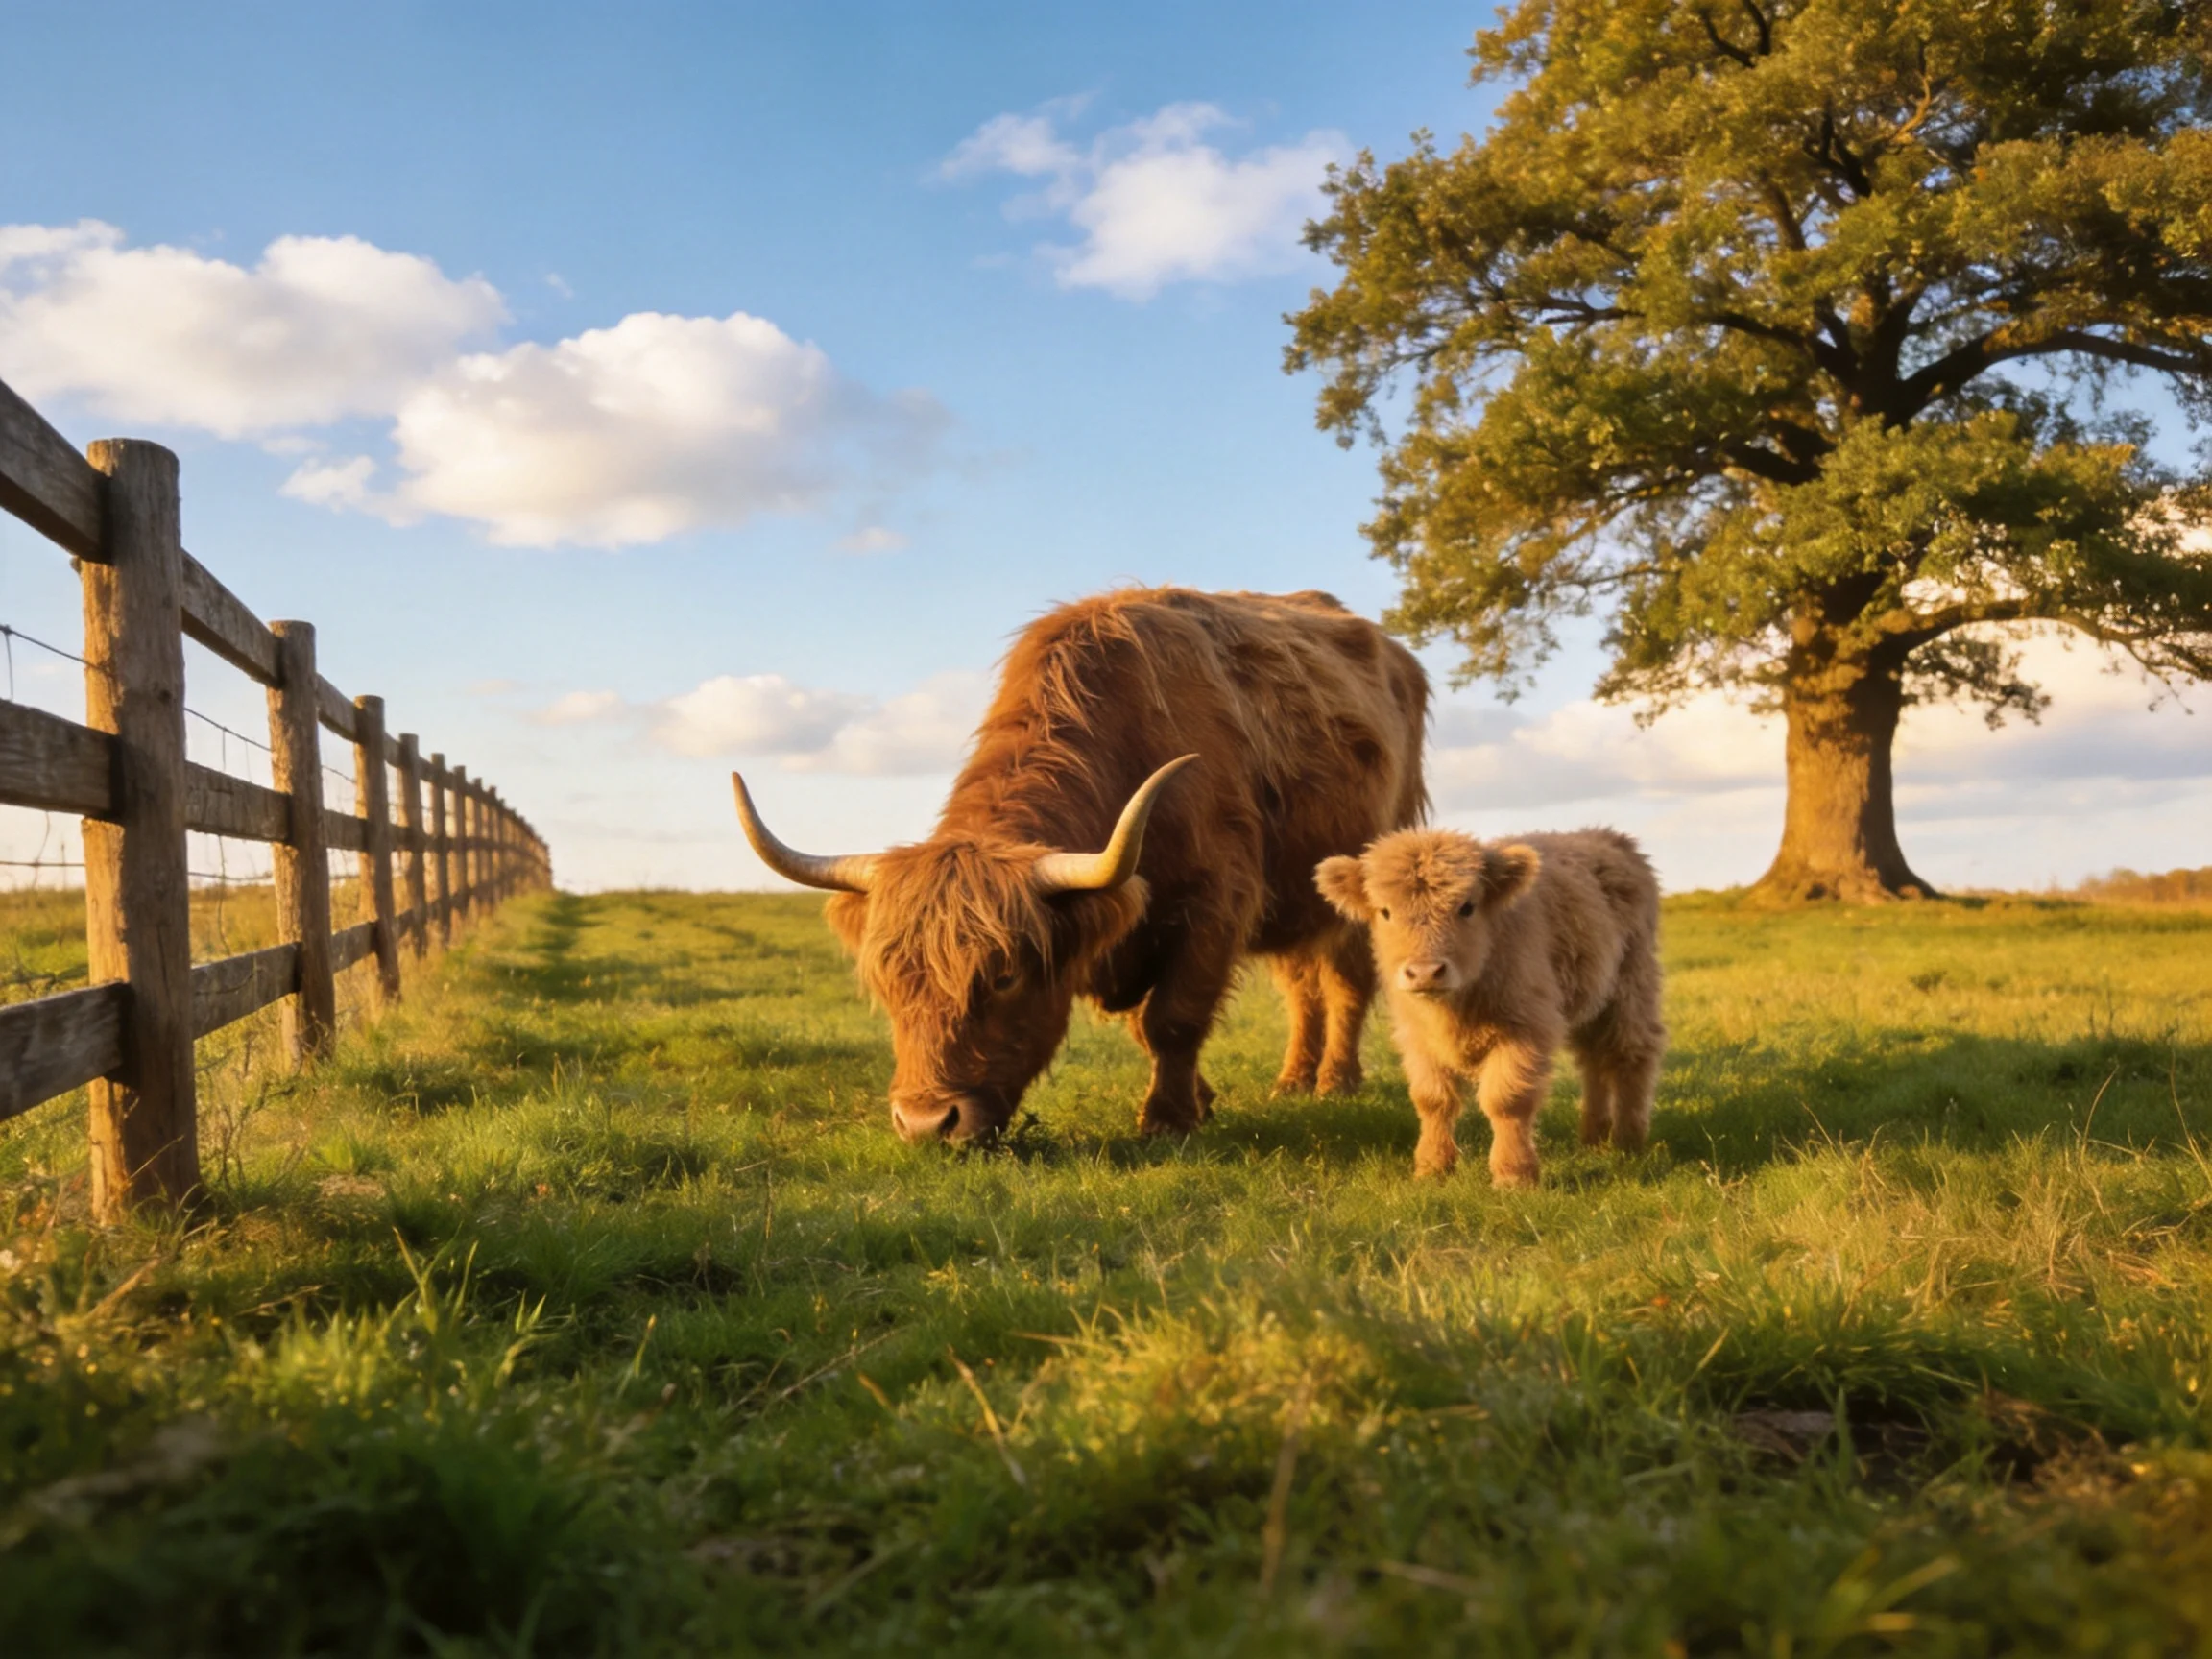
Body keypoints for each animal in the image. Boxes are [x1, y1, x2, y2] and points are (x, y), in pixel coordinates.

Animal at [733, 587, 1429, 1143]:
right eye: (888, 982)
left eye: (1003, 976)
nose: (927, 1123)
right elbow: (1149, 1028)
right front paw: (1200, 1101)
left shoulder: (1215, 904)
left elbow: (1174, 1018)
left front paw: (1169, 1120)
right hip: (1291, 900)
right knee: (1301, 986)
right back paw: (1293, 1079)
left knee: (1346, 982)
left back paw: (1336, 1081)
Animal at [1315, 827, 1664, 1185]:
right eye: (1385, 911)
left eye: (1467, 907)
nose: (1425, 972)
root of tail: (1607, 837)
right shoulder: (1417, 1037)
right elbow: (1432, 1099)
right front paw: (1432, 1167)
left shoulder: (1525, 1027)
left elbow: (1507, 1099)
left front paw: (1514, 1174)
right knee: (1594, 1058)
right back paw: (1594, 1137)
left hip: (1631, 987)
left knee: (1631, 1053)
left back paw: (1627, 1141)